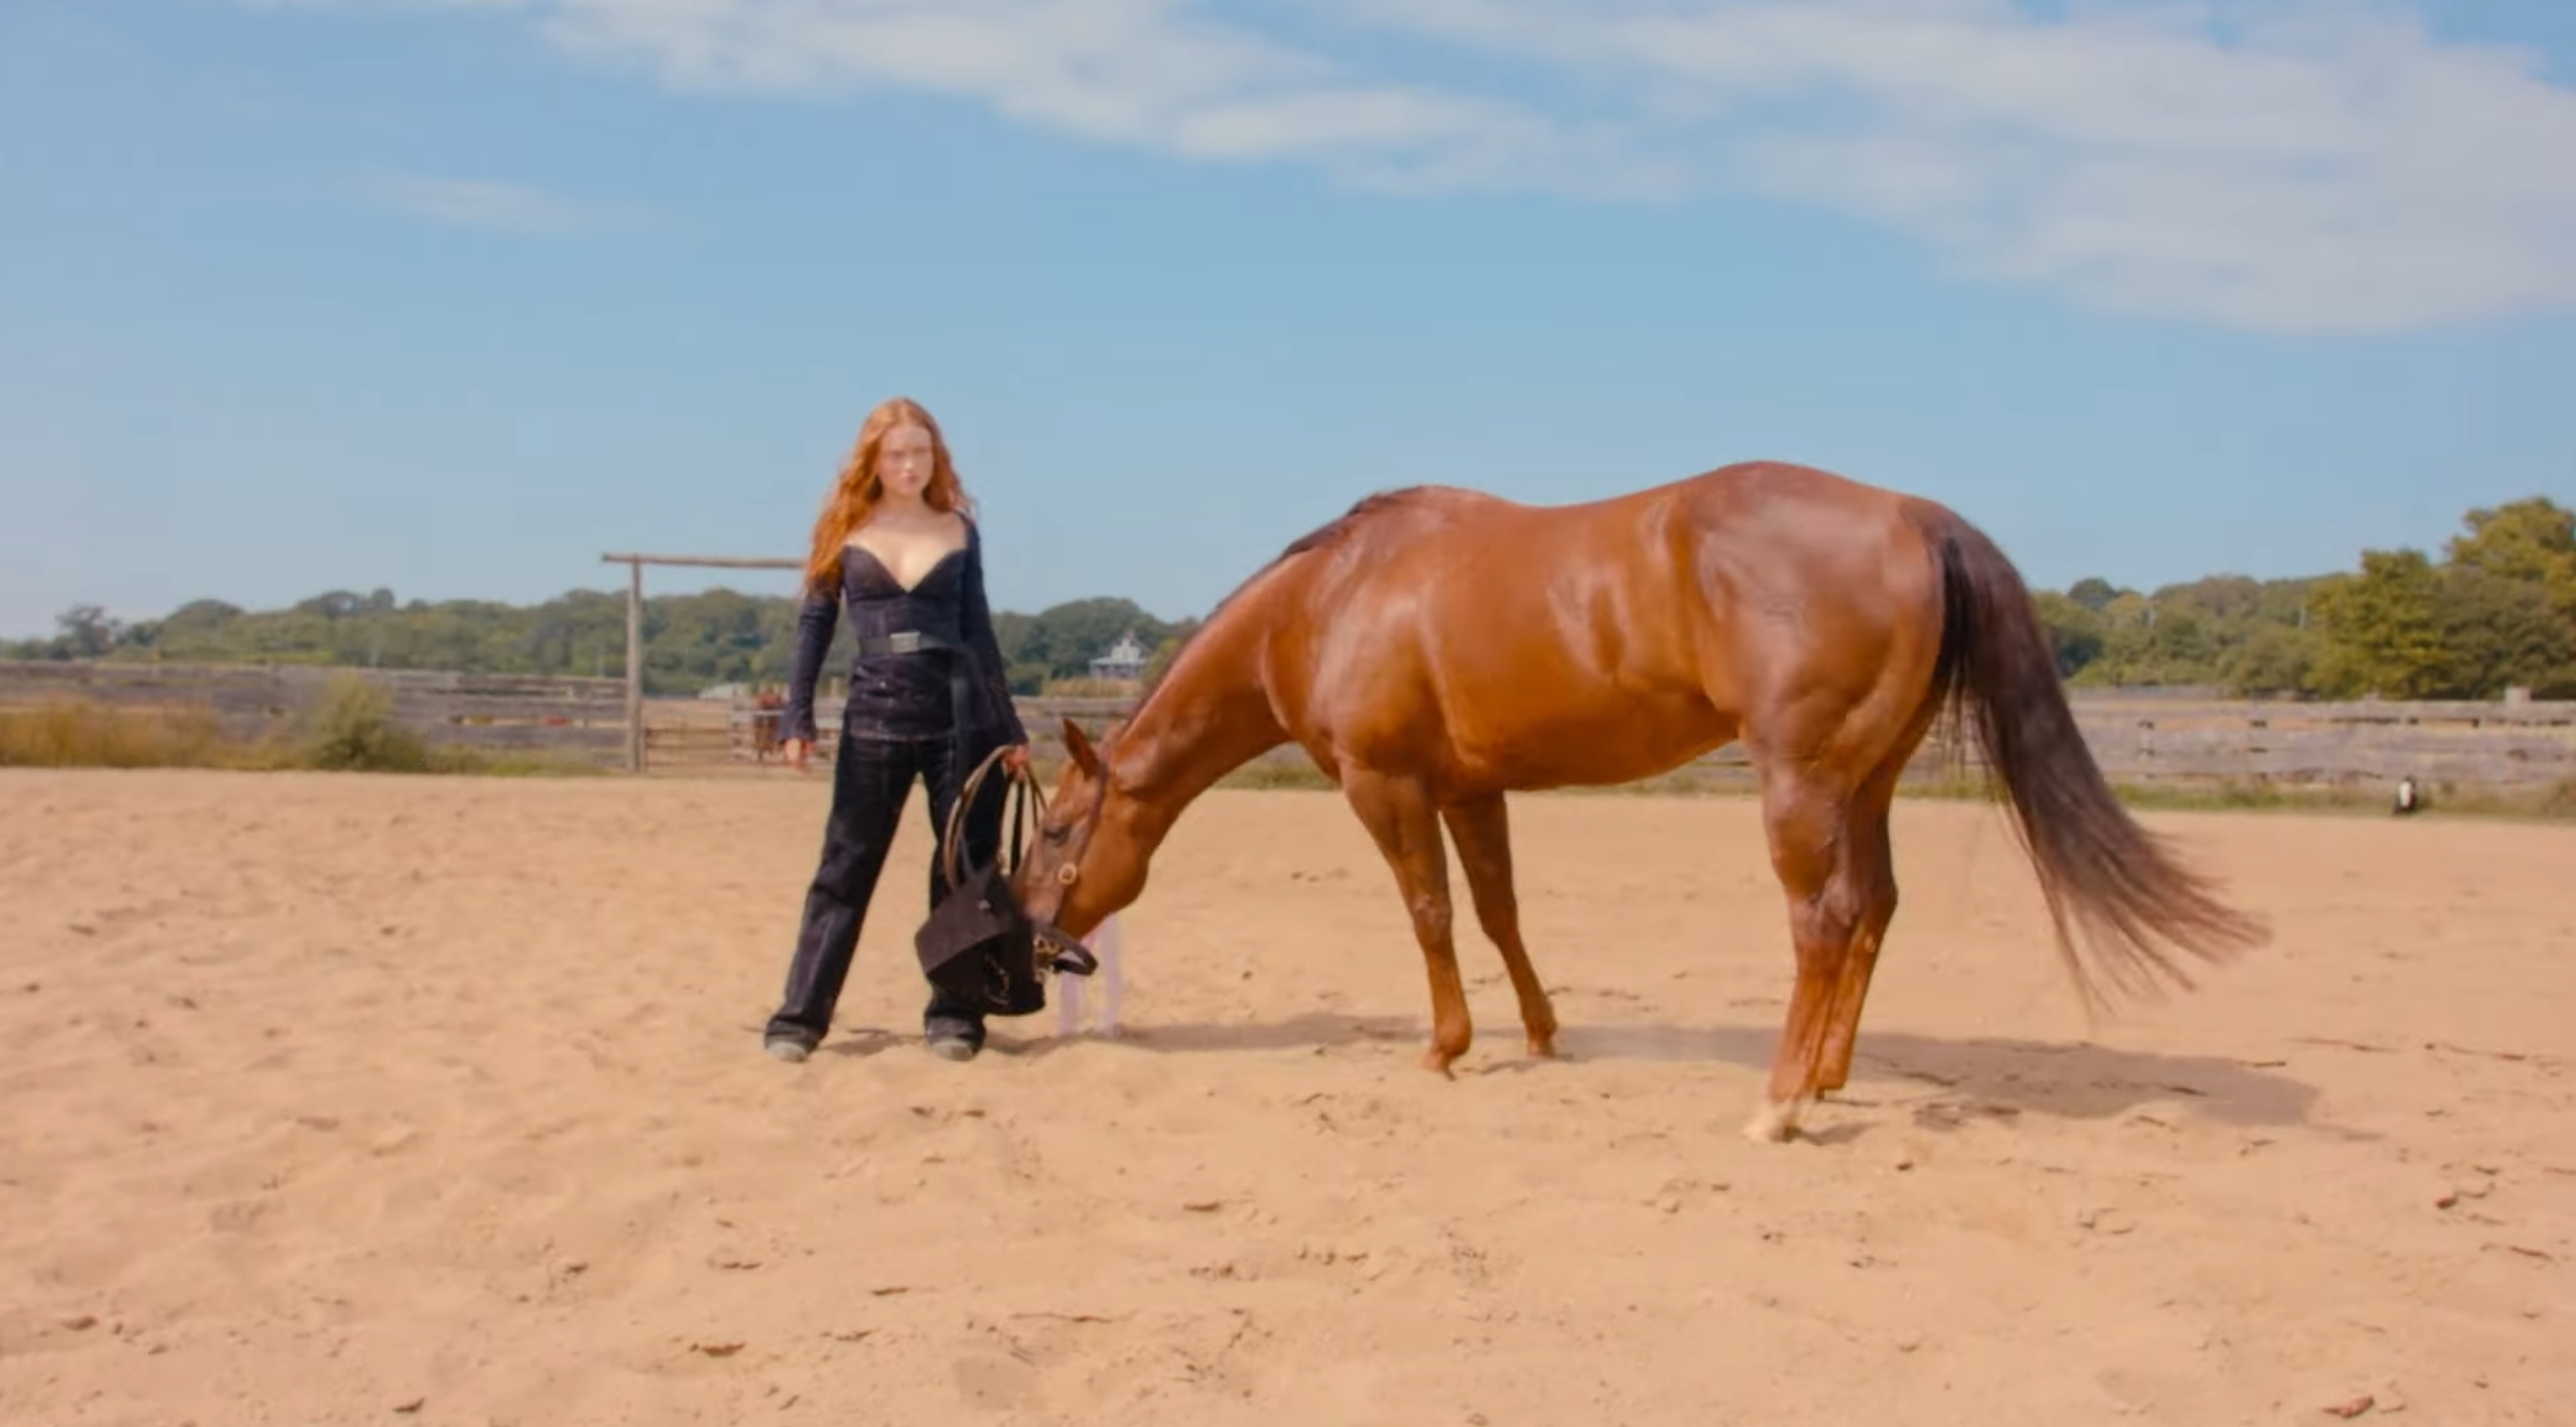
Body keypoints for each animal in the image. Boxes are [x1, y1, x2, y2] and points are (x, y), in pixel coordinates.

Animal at [1015, 460, 2267, 1138]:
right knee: (1873, 907)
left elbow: (1430, 914)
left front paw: (1444, 1048)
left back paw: (1779, 1103)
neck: (1330, 600)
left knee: (1822, 919)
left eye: (1063, 829)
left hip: (1801, 782)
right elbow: (1501, 912)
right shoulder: (1472, 788)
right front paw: (1540, 1035)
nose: (1032, 938)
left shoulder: (1388, 786)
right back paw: (1828, 1077)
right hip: (1867, 781)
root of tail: (1913, 512)